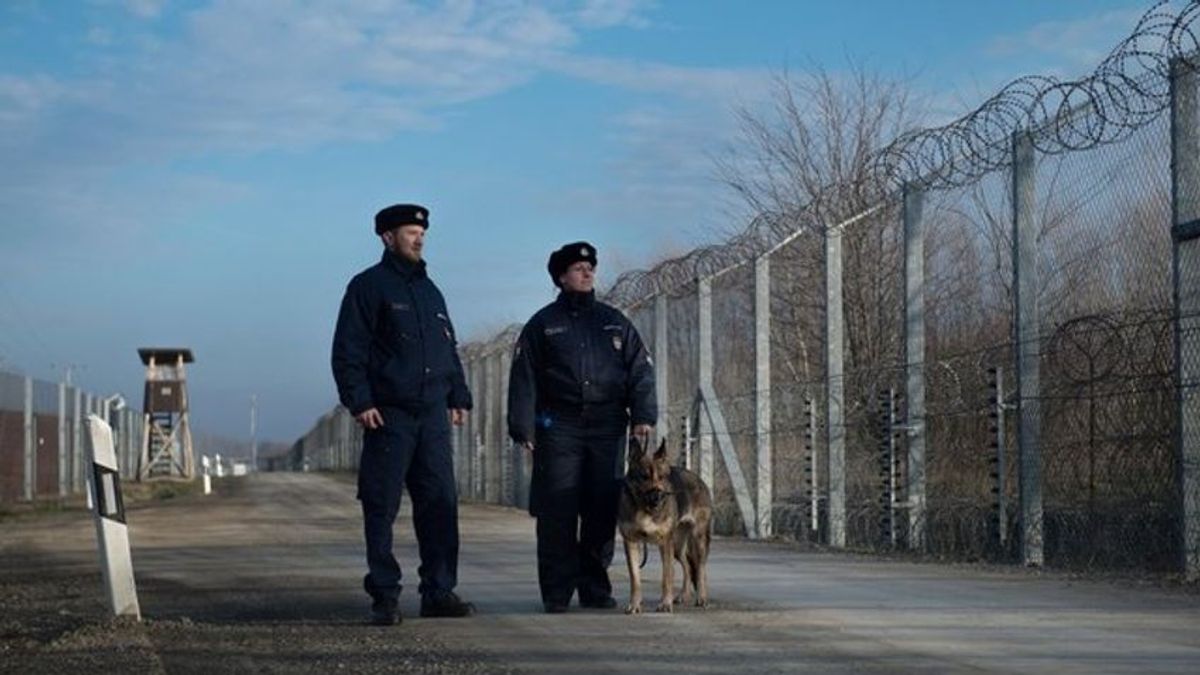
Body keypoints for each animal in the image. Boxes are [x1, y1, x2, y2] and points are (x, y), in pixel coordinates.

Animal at [619, 432, 710, 612]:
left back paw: (701, 598)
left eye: (661, 477)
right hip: (677, 546)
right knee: (687, 566)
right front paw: (634, 605)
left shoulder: (665, 543)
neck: (645, 509)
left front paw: (665, 604)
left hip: (696, 540)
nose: (658, 497)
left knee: (700, 568)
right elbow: (635, 579)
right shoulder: (631, 543)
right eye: (644, 477)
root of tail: (698, 479)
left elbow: (666, 577)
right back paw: (683, 595)